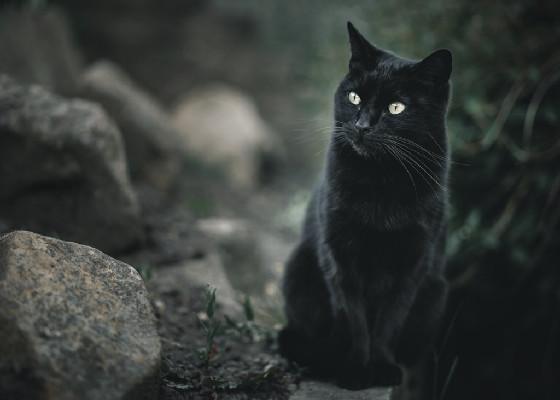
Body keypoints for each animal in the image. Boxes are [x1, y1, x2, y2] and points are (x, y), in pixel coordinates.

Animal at [278, 22, 452, 390]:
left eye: (396, 108)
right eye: (354, 97)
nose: (361, 126)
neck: (380, 183)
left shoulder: (412, 264)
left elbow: (389, 322)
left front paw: (382, 367)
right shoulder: (340, 258)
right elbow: (354, 320)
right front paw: (356, 370)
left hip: (436, 291)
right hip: (299, 269)